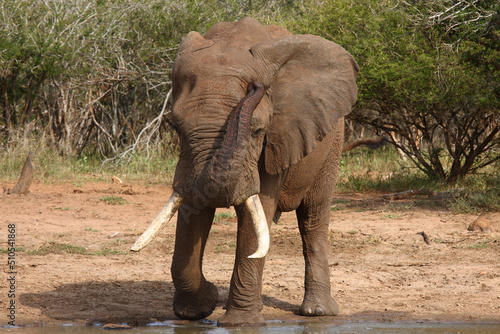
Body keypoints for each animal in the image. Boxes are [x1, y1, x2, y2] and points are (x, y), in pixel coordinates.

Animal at [131, 16, 358, 326]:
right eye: (176, 127)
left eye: (258, 130)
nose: (255, 86)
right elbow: (193, 211)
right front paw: (198, 308)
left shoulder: (277, 138)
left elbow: (259, 208)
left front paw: (239, 323)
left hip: (331, 144)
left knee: (313, 218)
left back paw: (318, 311)